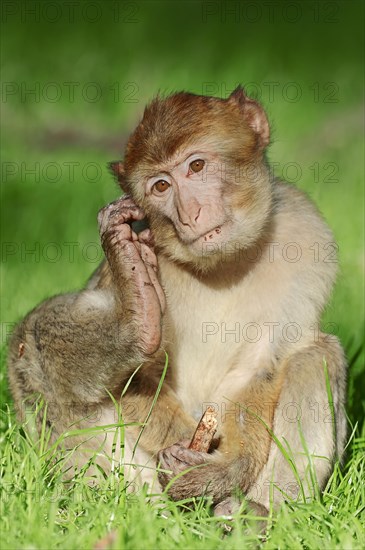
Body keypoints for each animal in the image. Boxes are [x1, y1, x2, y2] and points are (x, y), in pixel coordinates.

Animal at [7, 86, 346, 516]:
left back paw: (253, 513)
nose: (191, 213)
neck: (222, 265)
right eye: (161, 187)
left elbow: (262, 366)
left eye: (196, 166)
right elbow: (135, 377)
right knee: (33, 341)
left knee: (316, 354)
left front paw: (223, 469)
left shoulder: (307, 237)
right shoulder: (143, 235)